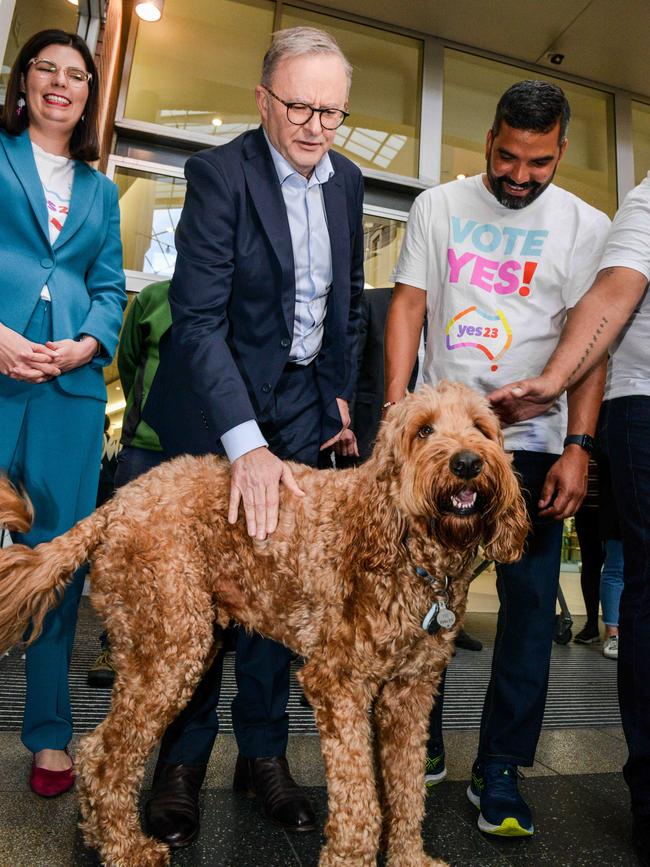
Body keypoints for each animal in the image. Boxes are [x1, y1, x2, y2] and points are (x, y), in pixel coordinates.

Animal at [0, 384, 528, 867]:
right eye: (423, 431)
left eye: (482, 429)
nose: (467, 463)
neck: (410, 551)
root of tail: (115, 505)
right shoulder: (337, 685)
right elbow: (361, 802)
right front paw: (351, 856)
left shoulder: (411, 693)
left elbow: (407, 789)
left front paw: (409, 858)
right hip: (171, 648)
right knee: (107, 755)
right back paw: (126, 848)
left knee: (98, 751)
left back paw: (100, 834)